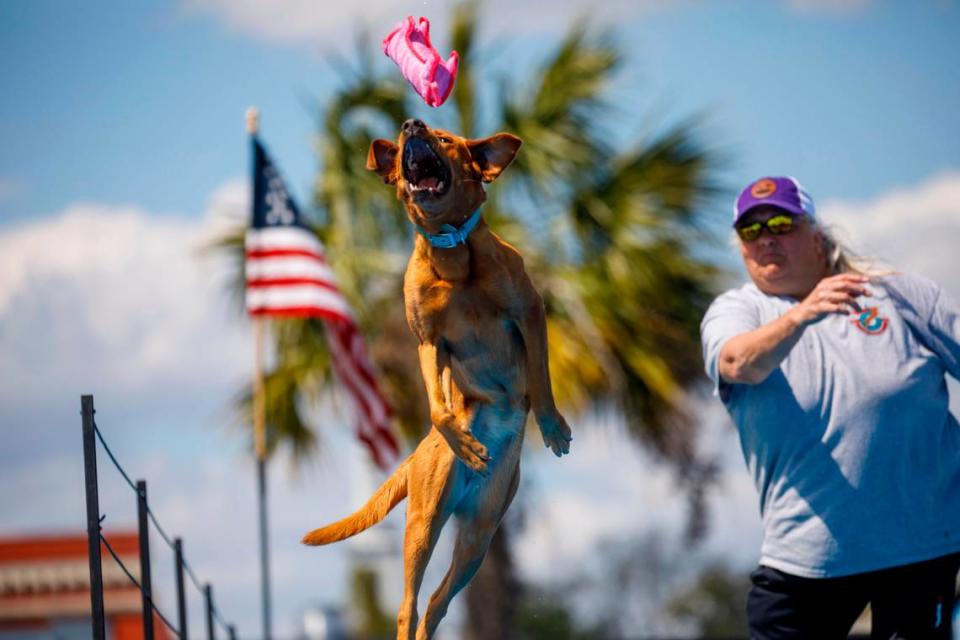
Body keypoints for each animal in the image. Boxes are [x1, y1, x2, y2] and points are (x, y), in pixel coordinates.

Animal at [302, 120, 568, 640]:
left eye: (446, 139)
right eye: (403, 134)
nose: (413, 125)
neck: (452, 252)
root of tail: (415, 454)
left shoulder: (529, 311)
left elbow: (542, 382)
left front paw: (552, 427)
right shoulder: (428, 341)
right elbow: (438, 407)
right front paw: (462, 439)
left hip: (480, 534)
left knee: (436, 603)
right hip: (425, 521)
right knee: (408, 603)